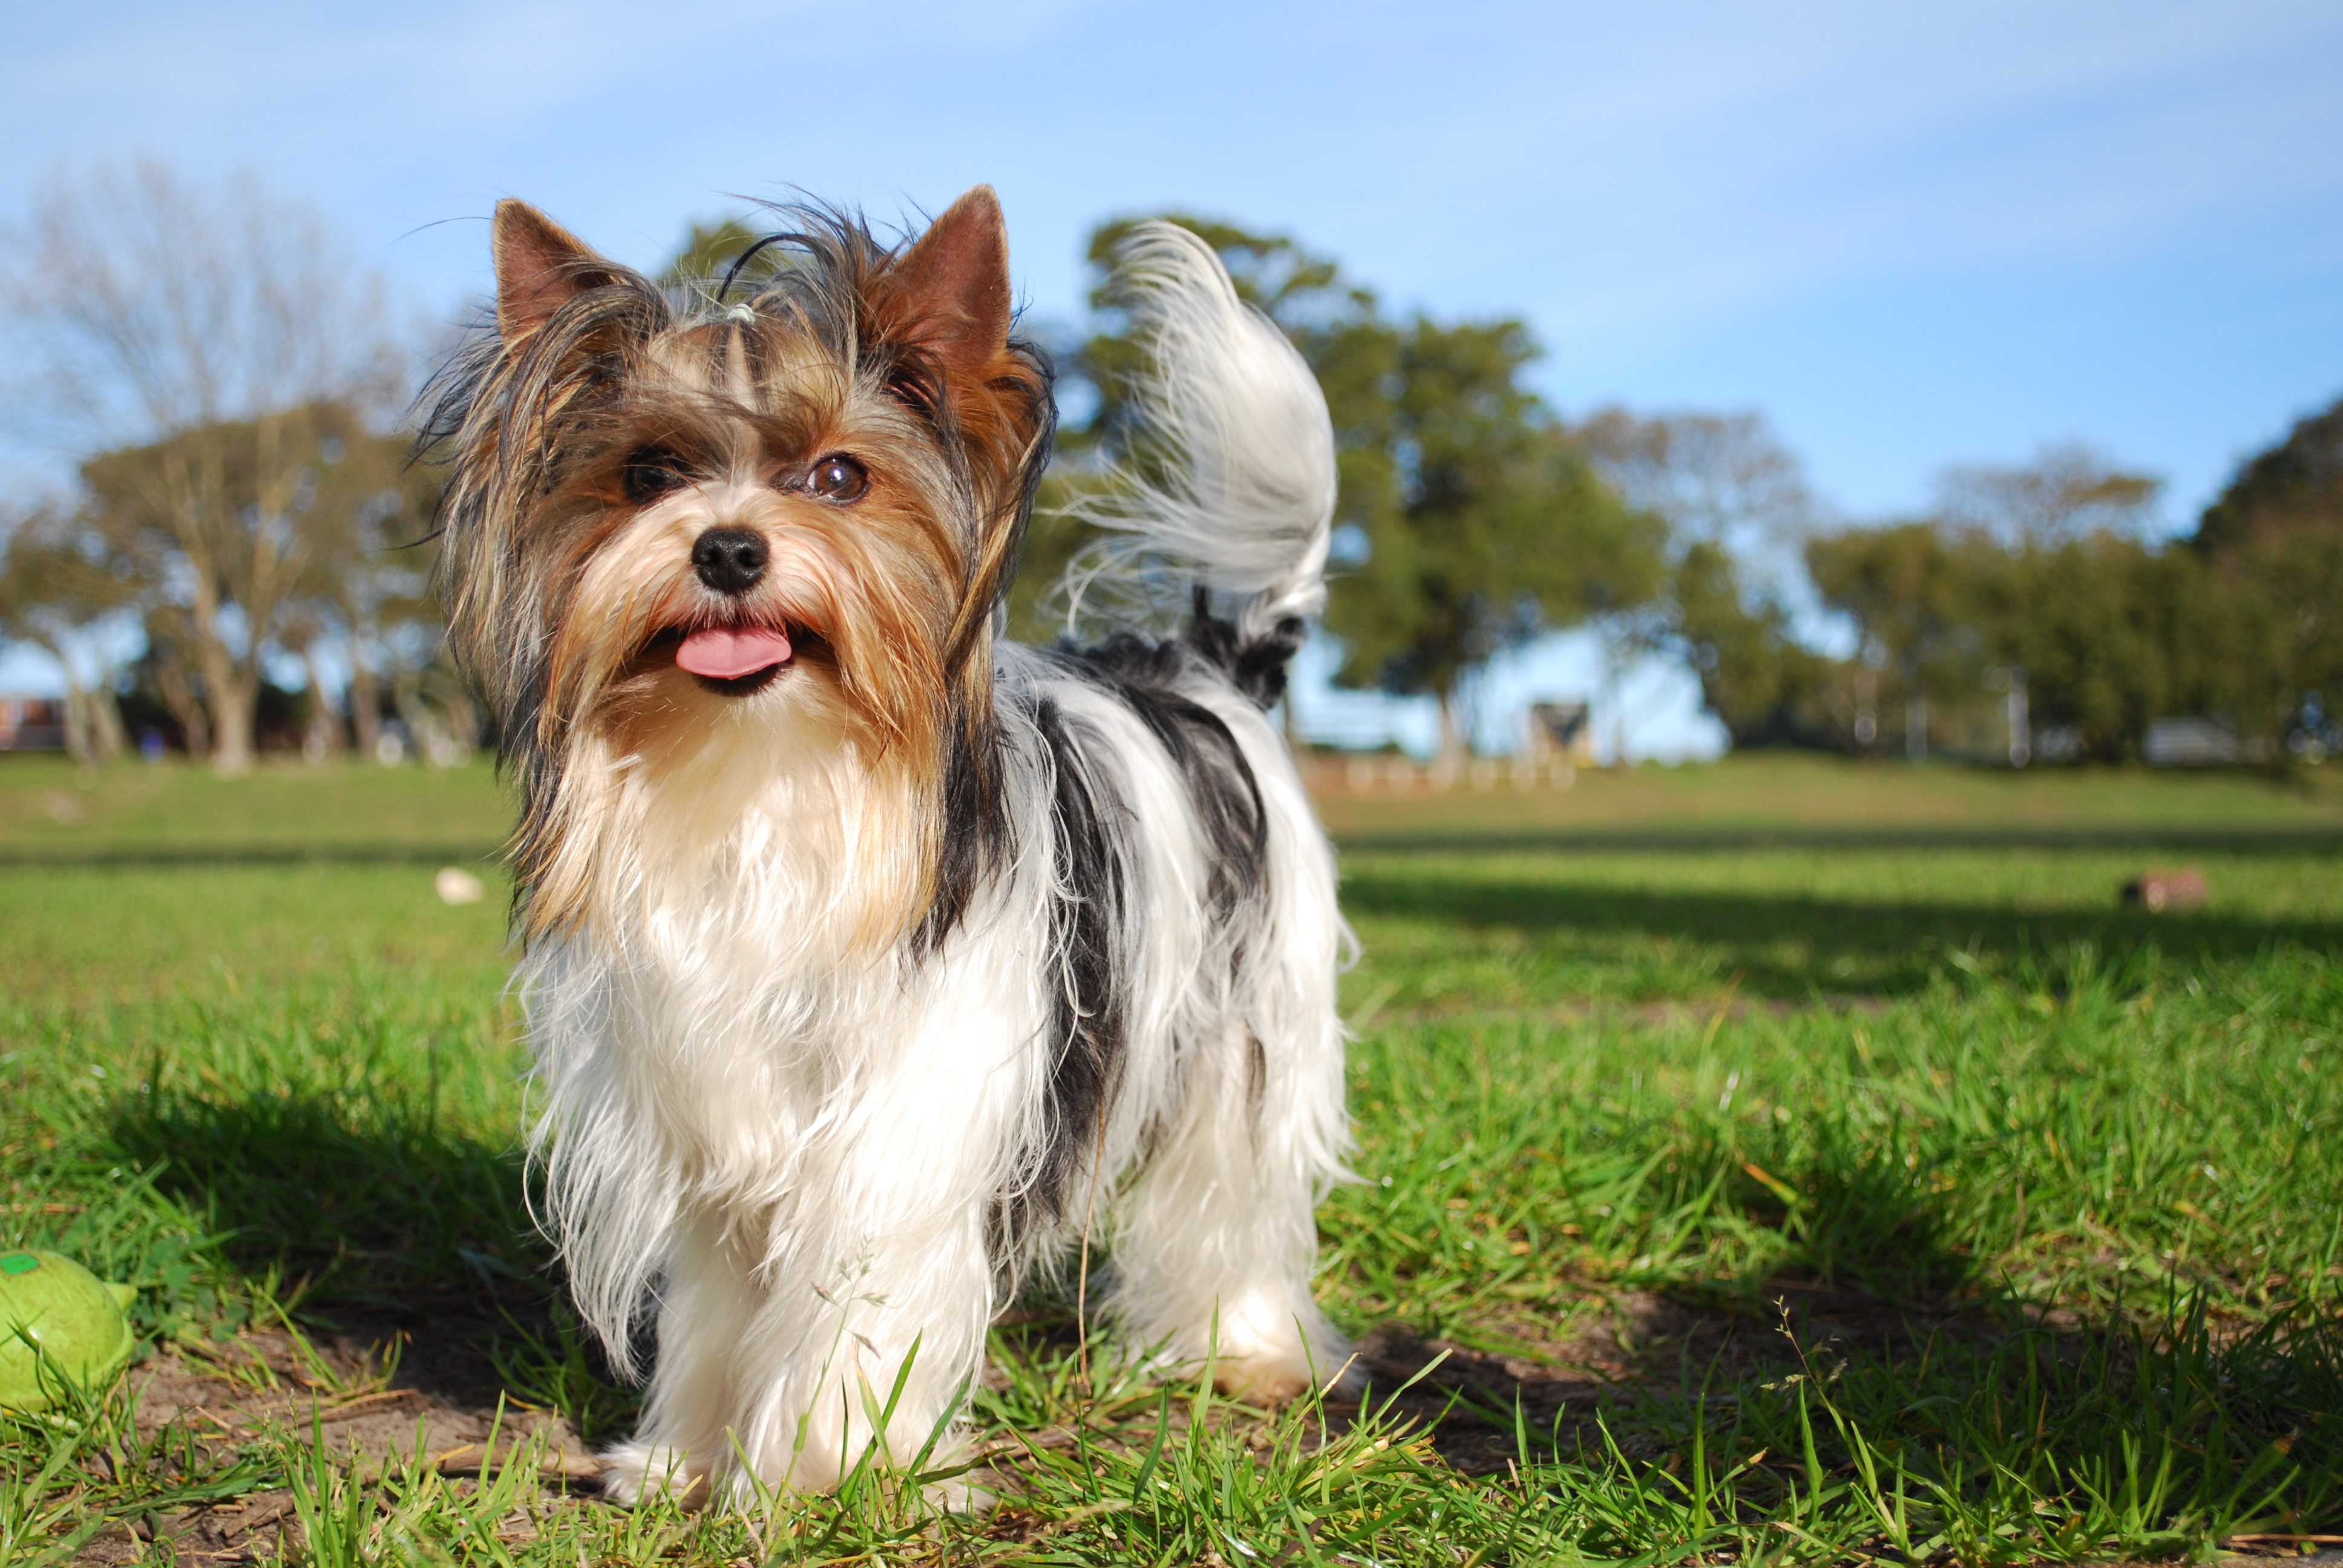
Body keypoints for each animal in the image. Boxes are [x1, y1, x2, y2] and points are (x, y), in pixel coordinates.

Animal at [417, 189, 1358, 1500]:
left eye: (839, 475)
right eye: (648, 472)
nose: (726, 547)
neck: (769, 770)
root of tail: (1211, 668)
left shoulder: (910, 1111)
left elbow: (857, 1286)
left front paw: (830, 1466)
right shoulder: (719, 1119)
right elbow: (720, 1297)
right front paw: (687, 1457)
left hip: (1251, 1016)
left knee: (1236, 1186)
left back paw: (1244, 1349)